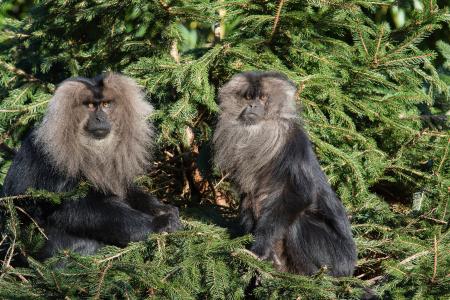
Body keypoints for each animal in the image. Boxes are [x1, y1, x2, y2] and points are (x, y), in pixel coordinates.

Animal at [2, 72, 181, 258]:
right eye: (89, 105)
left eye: (105, 104)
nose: (100, 118)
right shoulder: (54, 158)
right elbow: (73, 209)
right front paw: (158, 223)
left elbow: (126, 190)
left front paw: (161, 208)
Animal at [213, 72, 356, 276]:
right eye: (248, 97)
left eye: (263, 98)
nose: (252, 105)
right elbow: (248, 196)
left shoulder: (293, 145)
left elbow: (300, 195)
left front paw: (260, 246)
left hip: (337, 259)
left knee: (298, 222)